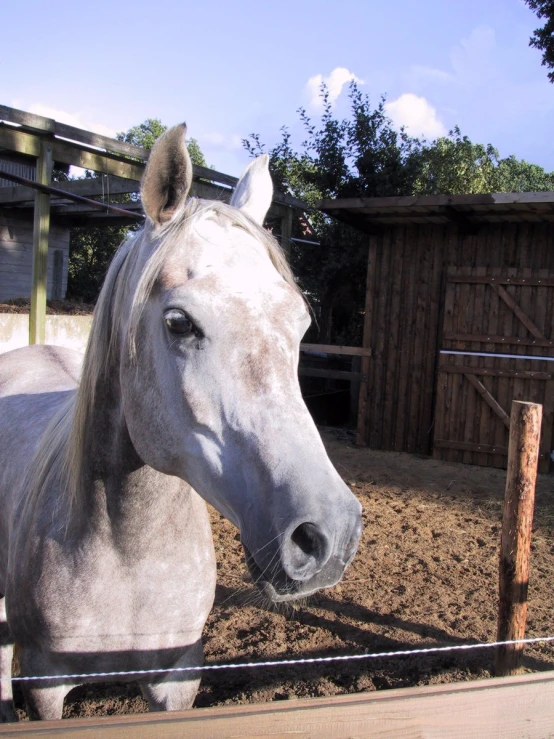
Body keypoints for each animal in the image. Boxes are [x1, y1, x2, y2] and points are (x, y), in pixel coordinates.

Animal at [0, 125, 360, 724]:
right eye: (178, 322)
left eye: (301, 323)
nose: (327, 534)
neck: (126, 552)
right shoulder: (46, 686)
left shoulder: (177, 680)